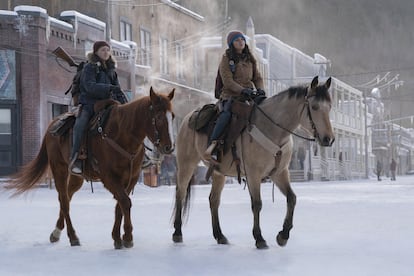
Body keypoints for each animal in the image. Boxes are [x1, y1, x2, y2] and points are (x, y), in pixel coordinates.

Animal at [6, 87, 175, 249]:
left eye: (172, 116)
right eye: (159, 117)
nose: (169, 147)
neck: (121, 134)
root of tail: (52, 125)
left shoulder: (131, 177)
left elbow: (120, 204)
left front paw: (117, 237)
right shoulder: (109, 177)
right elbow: (125, 202)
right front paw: (127, 237)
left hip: (76, 177)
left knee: (67, 197)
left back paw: (56, 232)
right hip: (58, 168)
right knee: (64, 200)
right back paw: (73, 237)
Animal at [173, 76, 334, 249]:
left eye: (330, 107)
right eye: (315, 107)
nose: (329, 139)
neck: (272, 129)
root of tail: (188, 118)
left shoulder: (280, 173)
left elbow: (292, 198)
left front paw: (283, 235)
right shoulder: (253, 174)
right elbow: (257, 204)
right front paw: (259, 238)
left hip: (218, 172)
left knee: (213, 200)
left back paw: (220, 235)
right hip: (187, 164)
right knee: (180, 194)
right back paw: (177, 233)